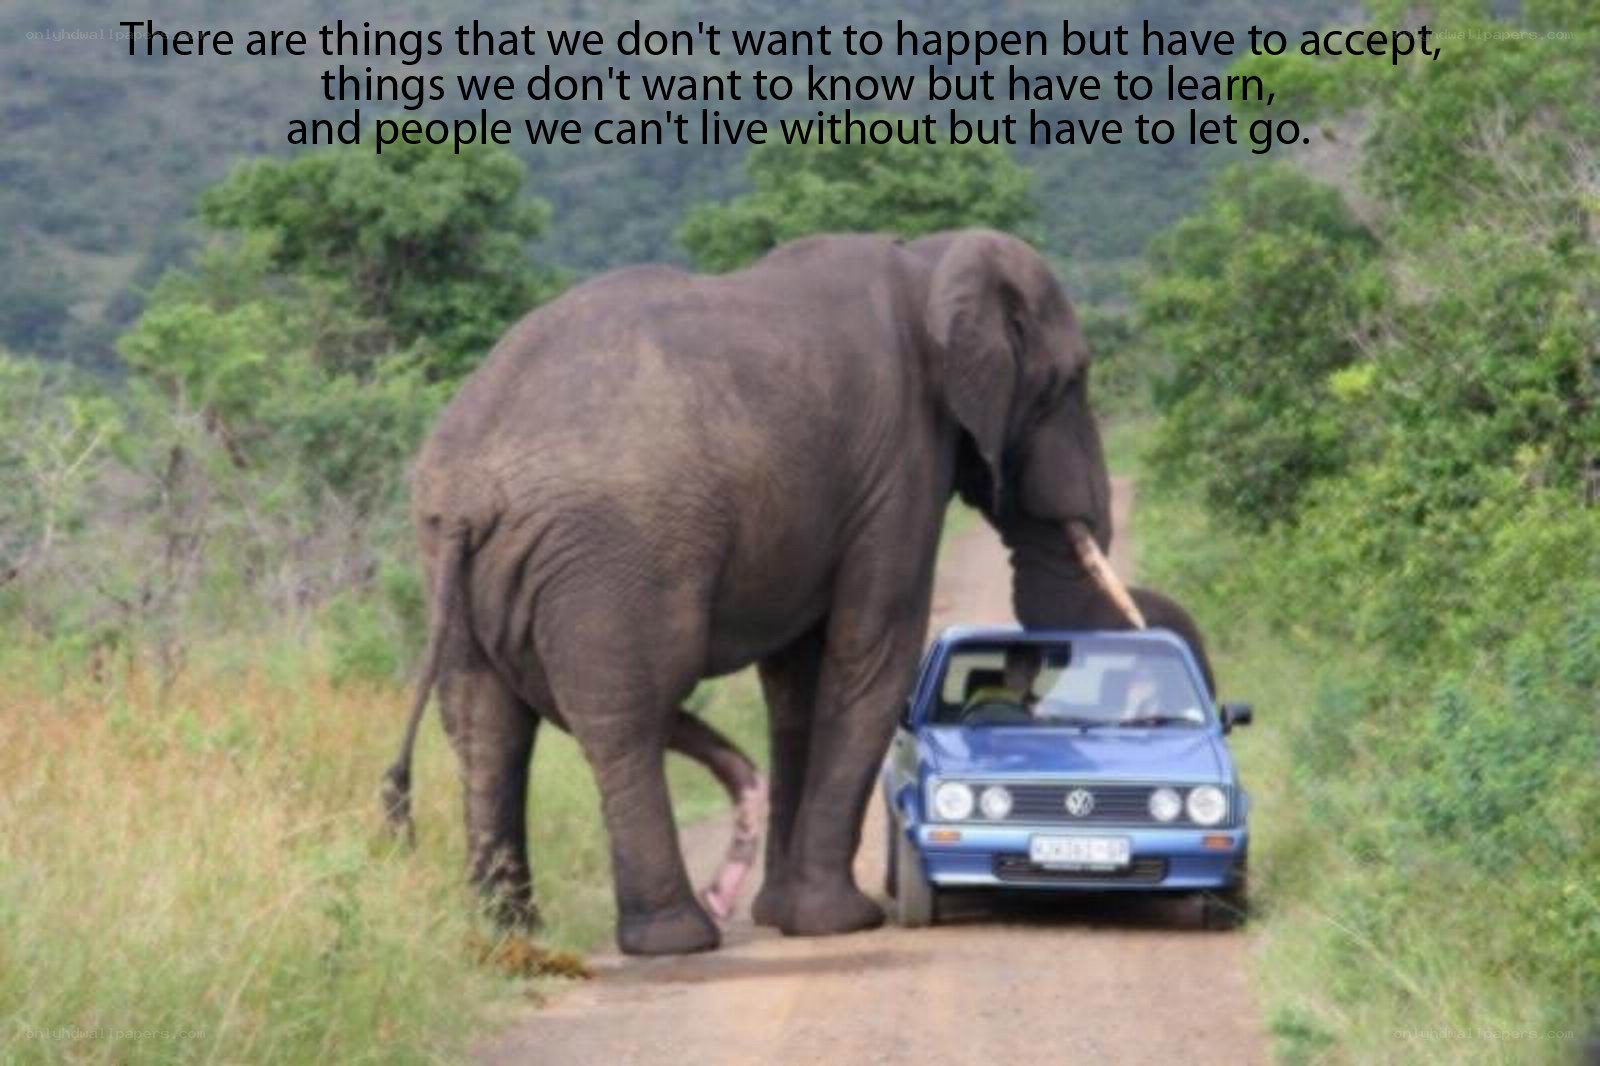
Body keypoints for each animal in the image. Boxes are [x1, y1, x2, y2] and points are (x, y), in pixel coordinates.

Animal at [381, 228, 1209, 956]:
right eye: (1070, 381)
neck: (930, 261)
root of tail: (468, 489)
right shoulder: (899, 462)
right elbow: (873, 648)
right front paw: (839, 924)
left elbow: (796, 682)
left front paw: (783, 916)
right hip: (612, 557)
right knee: (626, 714)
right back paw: (676, 940)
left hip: (453, 562)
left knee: (485, 726)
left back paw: (511, 939)